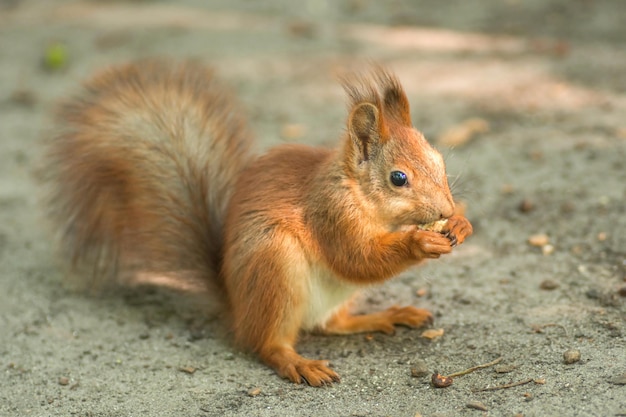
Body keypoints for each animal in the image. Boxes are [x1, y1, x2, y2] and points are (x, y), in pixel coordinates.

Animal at [42, 60, 468, 386]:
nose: (445, 209)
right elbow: (356, 258)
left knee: (330, 324)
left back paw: (387, 315)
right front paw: (420, 242)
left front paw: (461, 223)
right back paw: (296, 361)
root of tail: (235, 303)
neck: (359, 194)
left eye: (439, 161)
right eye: (398, 178)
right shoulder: (330, 214)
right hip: (275, 266)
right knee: (266, 343)